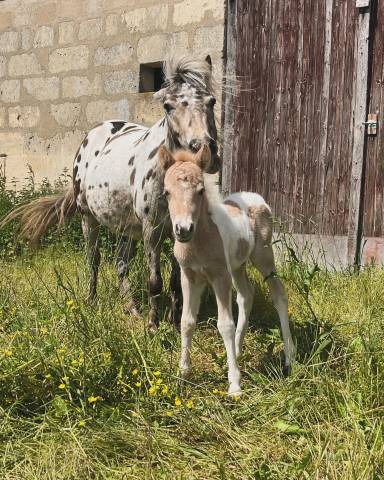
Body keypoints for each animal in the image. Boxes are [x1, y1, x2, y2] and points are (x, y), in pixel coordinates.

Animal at [0, 54, 219, 328]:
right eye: (168, 106)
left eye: (211, 101)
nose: (203, 149)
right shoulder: (152, 230)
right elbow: (155, 281)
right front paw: (153, 326)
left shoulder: (182, 230)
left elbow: (176, 281)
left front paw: (174, 321)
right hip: (88, 219)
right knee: (94, 260)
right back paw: (91, 302)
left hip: (127, 227)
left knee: (121, 264)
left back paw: (132, 309)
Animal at [158, 144, 296, 396]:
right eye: (167, 193)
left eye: (201, 191)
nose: (183, 229)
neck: (200, 241)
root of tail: (256, 197)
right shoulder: (189, 276)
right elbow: (187, 322)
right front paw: (183, 374)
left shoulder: (219, 275)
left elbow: (225, 325)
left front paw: (234, 385)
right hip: (238, 265)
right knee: (246, 295)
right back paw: (238, 352)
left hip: (263, 257)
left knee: (279, 294)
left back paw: (289, 358)